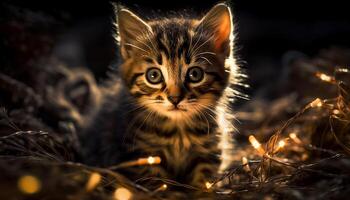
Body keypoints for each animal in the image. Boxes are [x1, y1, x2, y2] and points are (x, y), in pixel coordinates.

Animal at [80, 2, 242, 188]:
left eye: (195, 74)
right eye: (154, 75)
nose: (175, 99)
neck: (179, 132)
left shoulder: (209, 152)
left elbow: (203, 182)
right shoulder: (142, 156)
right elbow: (155, 184)